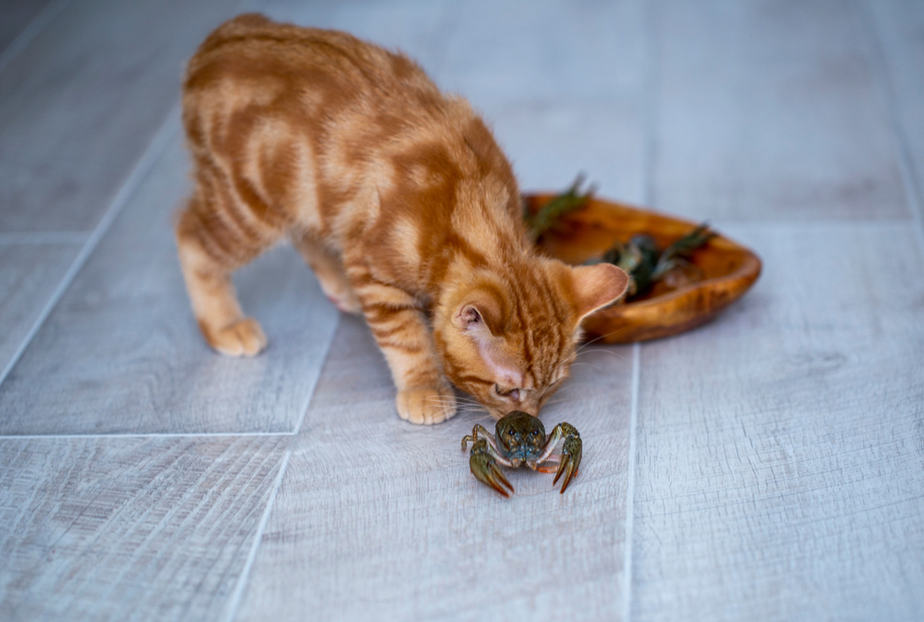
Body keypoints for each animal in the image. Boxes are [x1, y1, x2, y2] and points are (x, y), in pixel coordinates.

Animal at [175, 14, 628, 426]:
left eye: (551, 388)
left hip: (304, 198)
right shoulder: (373, 265)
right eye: (505, 389)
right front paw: (424, 388)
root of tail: (219, 38)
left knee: (306, 234)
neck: (469, 207)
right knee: (191, 235)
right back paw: (224, 324)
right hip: (248, 208)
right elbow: (406, 338)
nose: (529, 417)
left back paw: (339, 286)